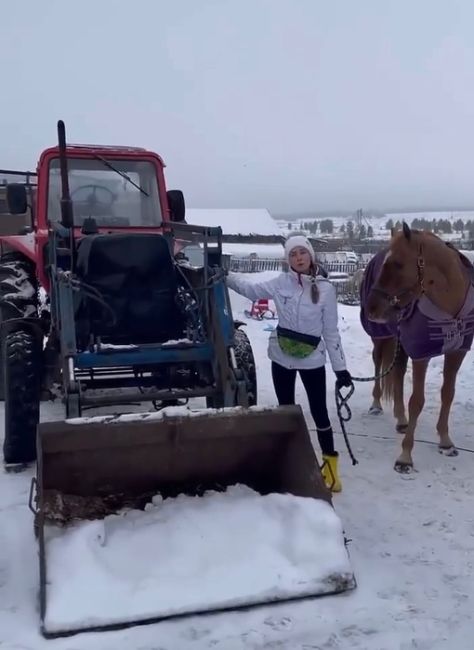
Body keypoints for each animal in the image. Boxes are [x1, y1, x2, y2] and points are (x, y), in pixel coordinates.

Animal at [360, 223, 474, 470]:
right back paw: (376, 404)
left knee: (399, 372)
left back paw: (401, 419)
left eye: (398, 264)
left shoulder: (456, 352)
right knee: (378, 364)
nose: (371, 308)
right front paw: (405, 457)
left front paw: (445, 442)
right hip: (381, 337)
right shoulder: (421, 354)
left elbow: (447, 394)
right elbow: (417, 401)